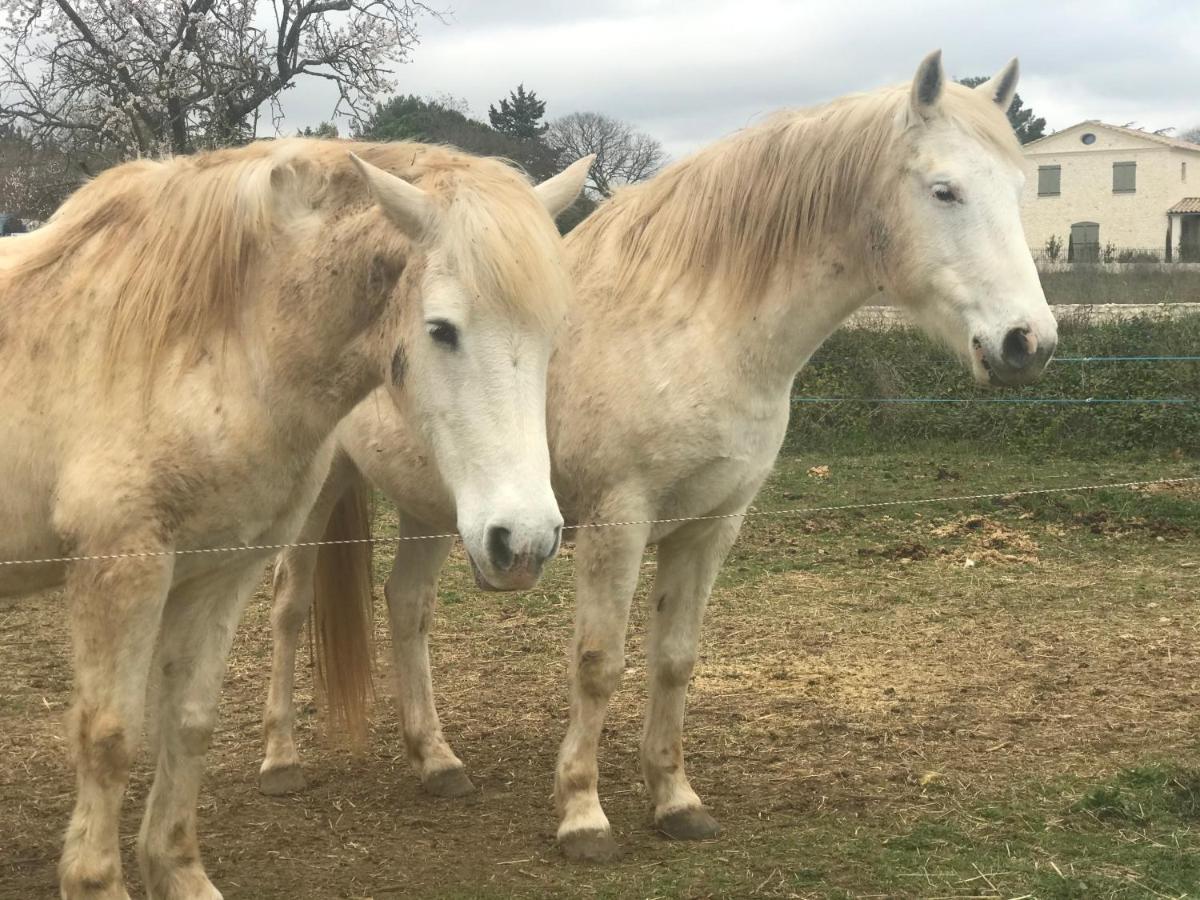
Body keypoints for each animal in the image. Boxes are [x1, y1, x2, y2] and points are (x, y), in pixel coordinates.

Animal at [0, 139, 590, 900]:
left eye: (550, 335)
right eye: (441, 330)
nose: (524, 542)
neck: (208, 340)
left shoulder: (217, 574)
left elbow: (189, 722)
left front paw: (180, 874)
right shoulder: (120, 571)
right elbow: (108, 738)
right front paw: (97, 882)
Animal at [262, 52, 1060, 864]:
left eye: (1020, 187)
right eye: (944, 190)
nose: (1028, 343)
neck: (695, 327)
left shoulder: (711, 526)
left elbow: (675, 661)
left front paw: (676, 800)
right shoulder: (618, 523)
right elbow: (599, 664)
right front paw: (583, 814)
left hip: (438, 505)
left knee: (408, 607)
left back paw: (437, 760)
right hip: (319, 495)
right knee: (290, 604)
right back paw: (281, 760)